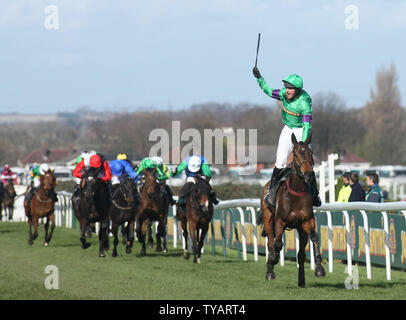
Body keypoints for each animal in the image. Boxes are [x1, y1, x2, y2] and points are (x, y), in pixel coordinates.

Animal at [260, 133, 326, 288]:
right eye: (295, 154)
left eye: (310, 154)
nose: (308, 174)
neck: (296, 192)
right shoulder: (280, 221)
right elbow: (277, 244)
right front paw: (273, 260)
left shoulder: (307, 221)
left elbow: (314, 238)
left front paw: (319, 269)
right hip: (268, 220)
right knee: (270, 243)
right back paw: (270, 271)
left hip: (300, 230)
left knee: (300, 255)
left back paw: (301, 280)